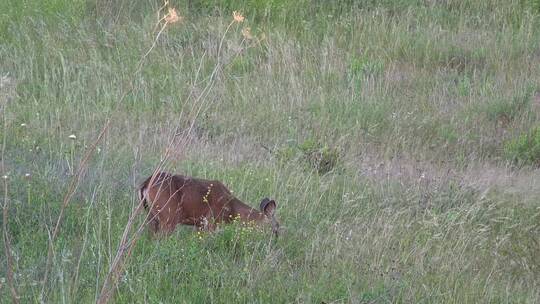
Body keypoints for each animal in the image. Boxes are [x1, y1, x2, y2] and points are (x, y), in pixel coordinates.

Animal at [137, 172, 280, 236]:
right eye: (276, 228)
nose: (276, 240)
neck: (231, 208)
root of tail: (146, 183)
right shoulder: (212, 221)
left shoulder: (200, 224)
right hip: (168, 216)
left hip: (151, 217)